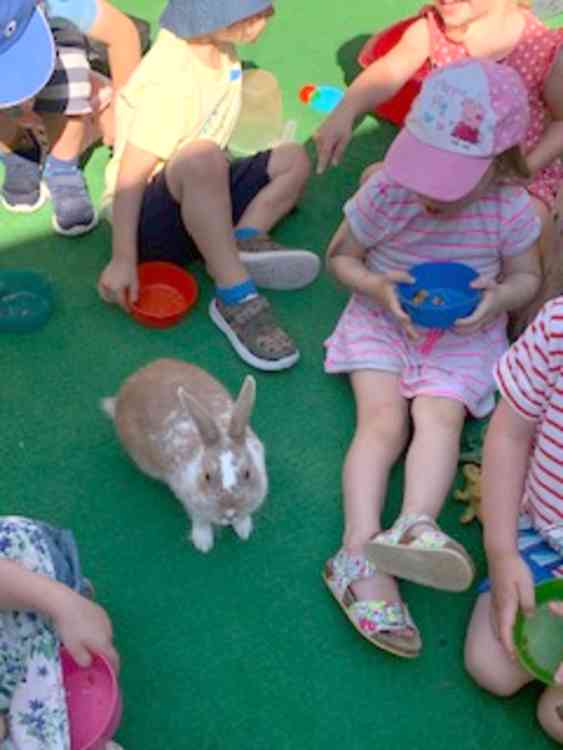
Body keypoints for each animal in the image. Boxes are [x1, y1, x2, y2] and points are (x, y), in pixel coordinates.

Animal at [101, 358, 268, 552]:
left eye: (248, 473)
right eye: (207, 476)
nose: (229, 511)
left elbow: (243, 517)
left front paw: (243, 530)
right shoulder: (187, 498)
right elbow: (200, 521)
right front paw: (203, 543)